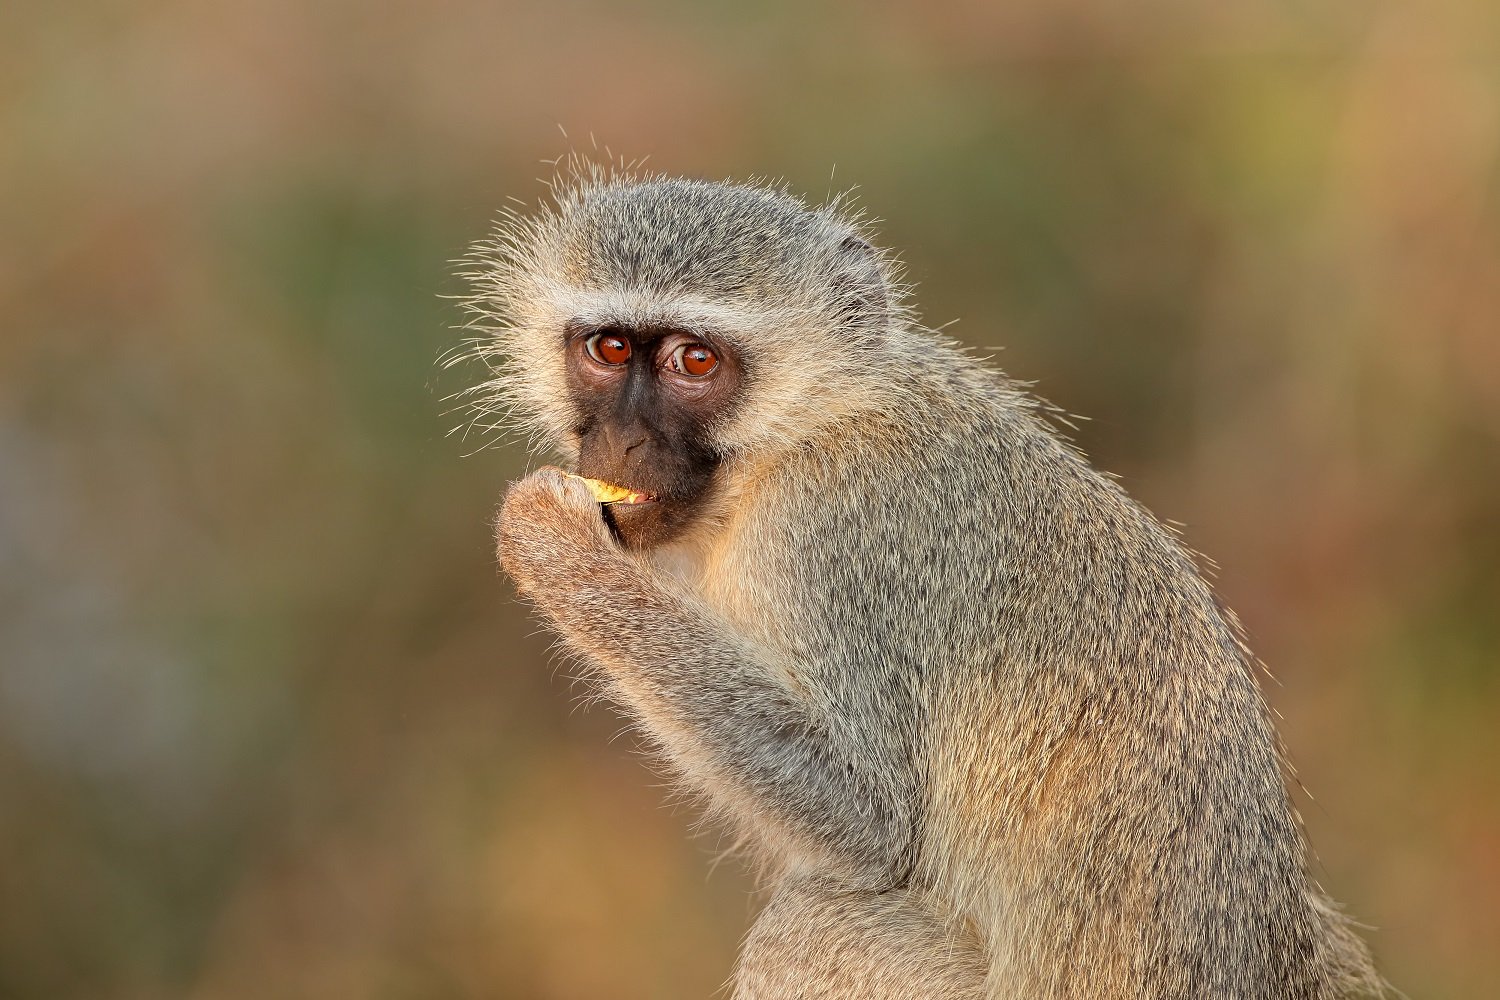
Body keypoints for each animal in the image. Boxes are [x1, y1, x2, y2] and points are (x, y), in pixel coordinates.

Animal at [465, 173, 1380, 1000]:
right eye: (610, 349)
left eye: (696, 361)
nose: (620, 443)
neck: (803, 431)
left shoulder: (832, 536)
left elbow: (867, 821)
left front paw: (554, 546)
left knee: (813, 923)